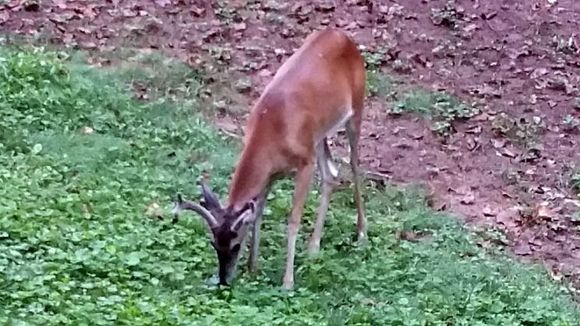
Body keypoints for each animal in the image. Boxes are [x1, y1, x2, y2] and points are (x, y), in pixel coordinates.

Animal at [172, 27, 368, 288]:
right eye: (214, 244)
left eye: (235, 245)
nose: (223, 280)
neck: (271, 129)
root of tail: (342, 37)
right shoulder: (269, 174)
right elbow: (257, 214)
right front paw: (252, 267)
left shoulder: (304, 163)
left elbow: (293, 220)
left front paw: (287, 282)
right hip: (318, 135)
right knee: (331, 173)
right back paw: (314, 247)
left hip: (356, 108)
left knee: (355, 166)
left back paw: (362, 234)